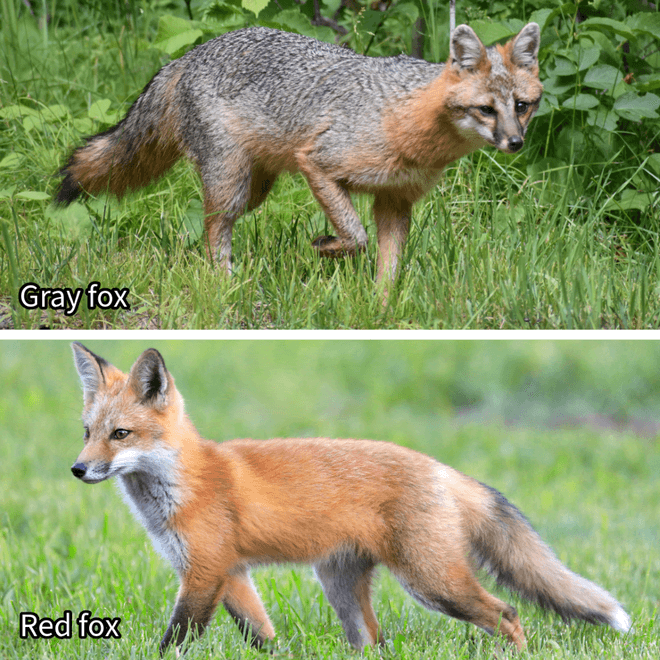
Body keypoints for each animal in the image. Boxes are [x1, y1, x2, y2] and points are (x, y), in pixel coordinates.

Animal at [56, 24, 543, 288]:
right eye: (486, 110)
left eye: (522, 106)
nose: (515, 143)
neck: (405, 119)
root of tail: (189, 55)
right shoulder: (319, 164)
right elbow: (356, 236)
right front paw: (325, 247)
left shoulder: (394, 200)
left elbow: (389, 269)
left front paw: (380, 308)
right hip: (232, 185)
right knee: (213, 229)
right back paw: (224, 284)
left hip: (254, 191)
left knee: (202, 227)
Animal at [69, 343, 631, 656]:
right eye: (87, 433)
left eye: (120, 434)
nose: (78, 469)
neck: (183, 484)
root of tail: (442, 468)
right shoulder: (230, 572)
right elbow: (262, 636)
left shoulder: (205, 571)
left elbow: (176, 640)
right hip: (342, 586)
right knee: (376, 643)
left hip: (432, 582)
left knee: (508, 613)